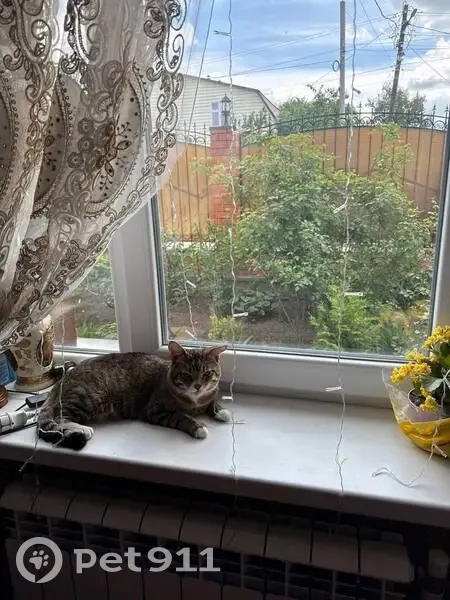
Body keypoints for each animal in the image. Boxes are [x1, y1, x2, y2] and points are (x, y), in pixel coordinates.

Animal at [37, 341, 230, 450]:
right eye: (186, 374)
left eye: (207, 374)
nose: (198, 386)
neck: (194, 401)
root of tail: (62, 381)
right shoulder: (155, 411)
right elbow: (181, 416)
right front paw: (198, 426)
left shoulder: (208, 395)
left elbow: (212, 401)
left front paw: (222, 411)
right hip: (85, 398)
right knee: (61, 418)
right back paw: (82, 429)